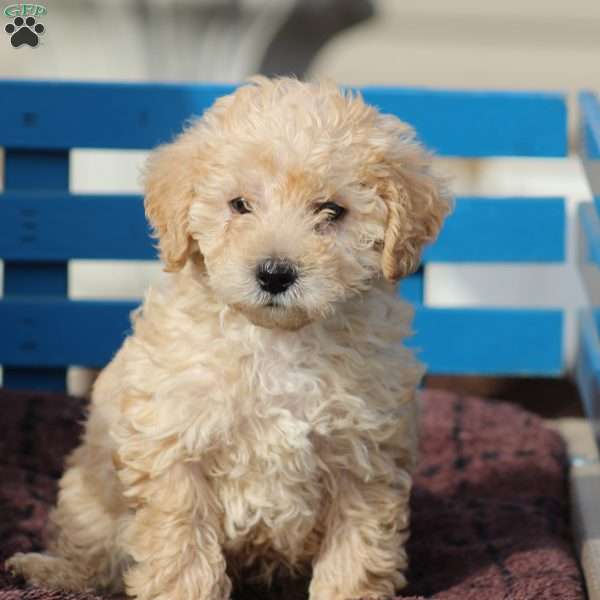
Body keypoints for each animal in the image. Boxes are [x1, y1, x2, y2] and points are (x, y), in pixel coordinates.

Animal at [7, 77, 450, 596]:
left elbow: (356, 552)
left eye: (332, 211)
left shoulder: (363, 457)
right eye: (240, 205)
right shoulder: (174, 446)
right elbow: (181, 548)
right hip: (88, 491)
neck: (277, 341)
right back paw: (47, 569)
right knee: (94, 555)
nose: (275, 273)